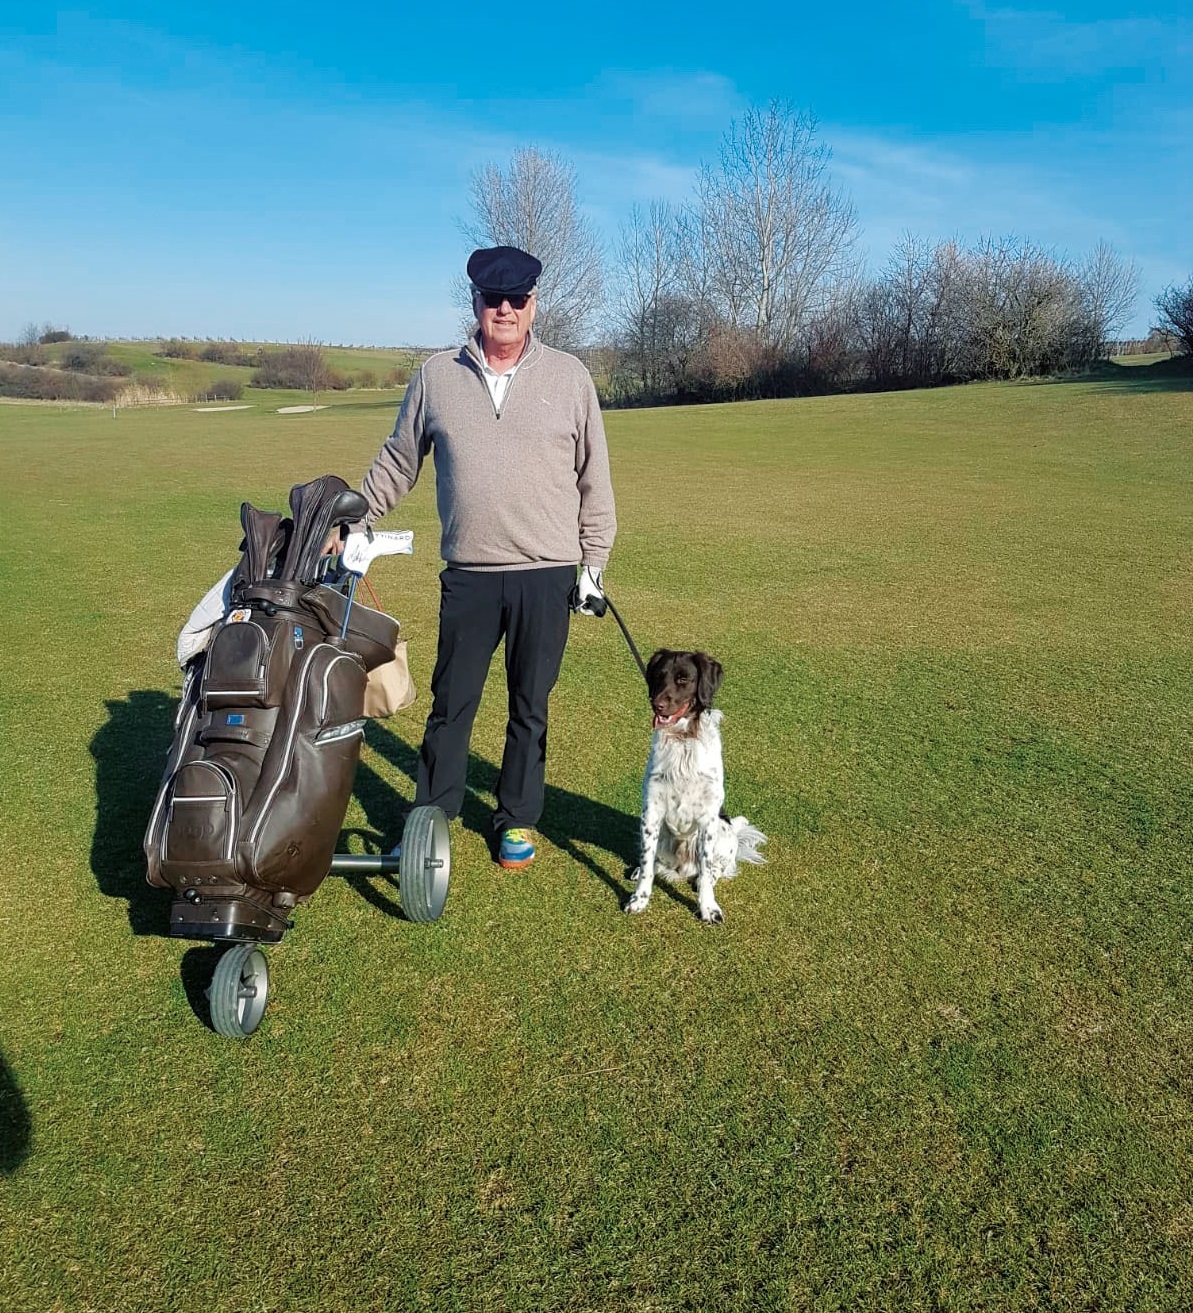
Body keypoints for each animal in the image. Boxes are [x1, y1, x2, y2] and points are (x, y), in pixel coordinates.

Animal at [624, 648, 761, 924]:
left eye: (683, 679)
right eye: (658, 675)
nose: (657, 704)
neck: (683, 739)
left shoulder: (708, 818)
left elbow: (707, 870)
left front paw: (708, 908)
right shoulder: (651, 813)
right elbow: (647, 865)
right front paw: (639, 900)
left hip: (724, 832)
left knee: (715, 869)